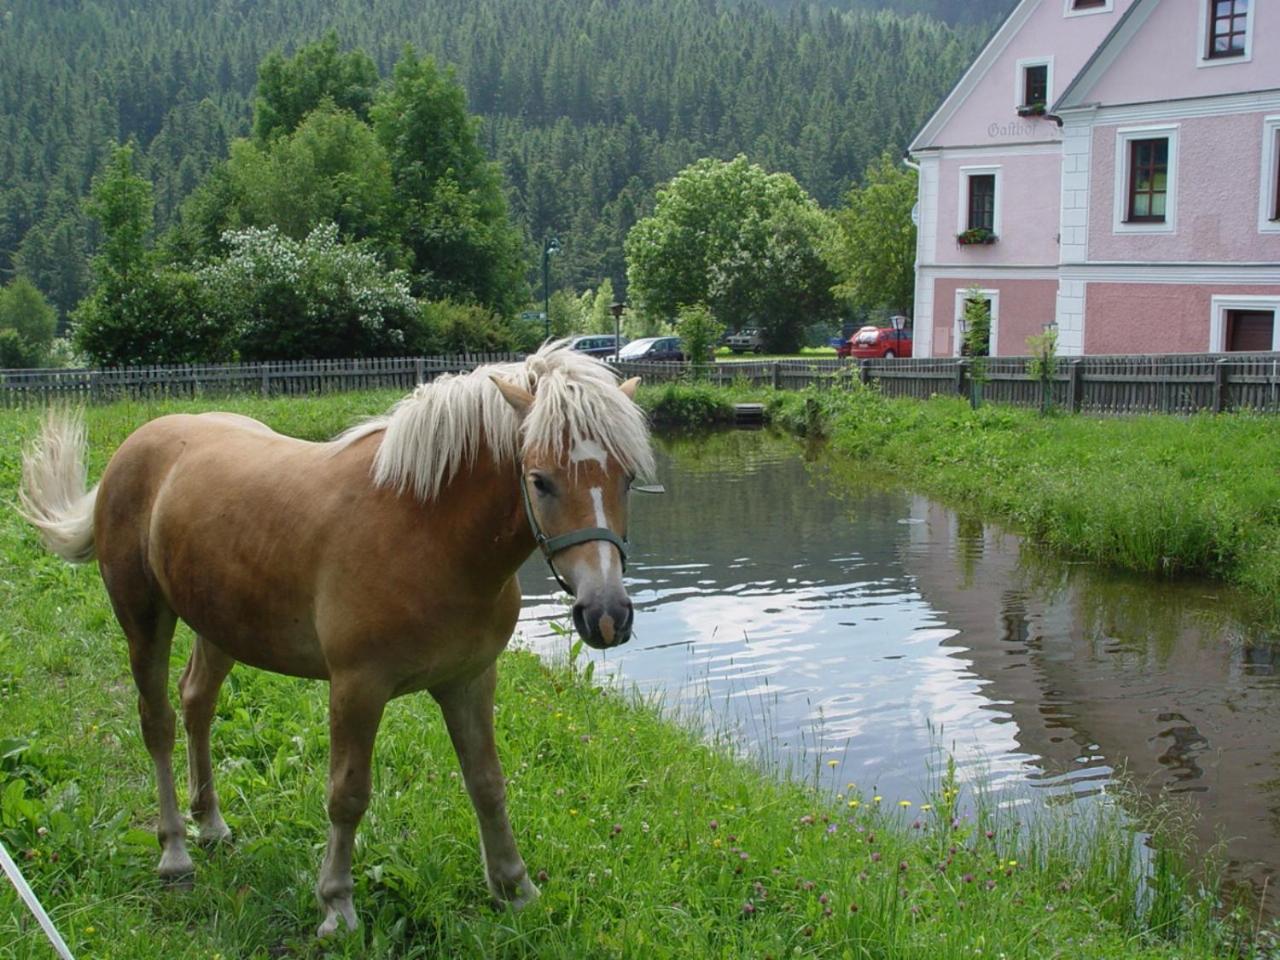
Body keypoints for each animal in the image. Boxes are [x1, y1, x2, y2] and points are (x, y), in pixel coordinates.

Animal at [17, 345, 660, 942]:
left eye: (627, 478)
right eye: (540, 480)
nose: (606, 615)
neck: (425, 529)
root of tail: (135, 448)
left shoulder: (470, 680)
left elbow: (487, 784)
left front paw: (514, 888)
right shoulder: (357, 689)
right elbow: (347, 795)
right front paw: (336, 906)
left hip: (219, 625)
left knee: (197, 701)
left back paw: (213, 825)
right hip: (144, 619)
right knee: (158, 723)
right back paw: (175, 851)